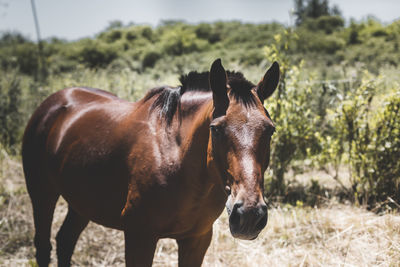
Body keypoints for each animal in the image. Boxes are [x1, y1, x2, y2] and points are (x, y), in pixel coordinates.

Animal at [21, 59, 278, 267]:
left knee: (65, 241)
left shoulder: (197, 239)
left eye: (270, 130)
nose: (249, 215)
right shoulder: (139, 237)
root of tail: (53, 103)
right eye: (215, 129)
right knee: (44, 246)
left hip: (81, 203)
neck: (174, 157)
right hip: (42, 194)